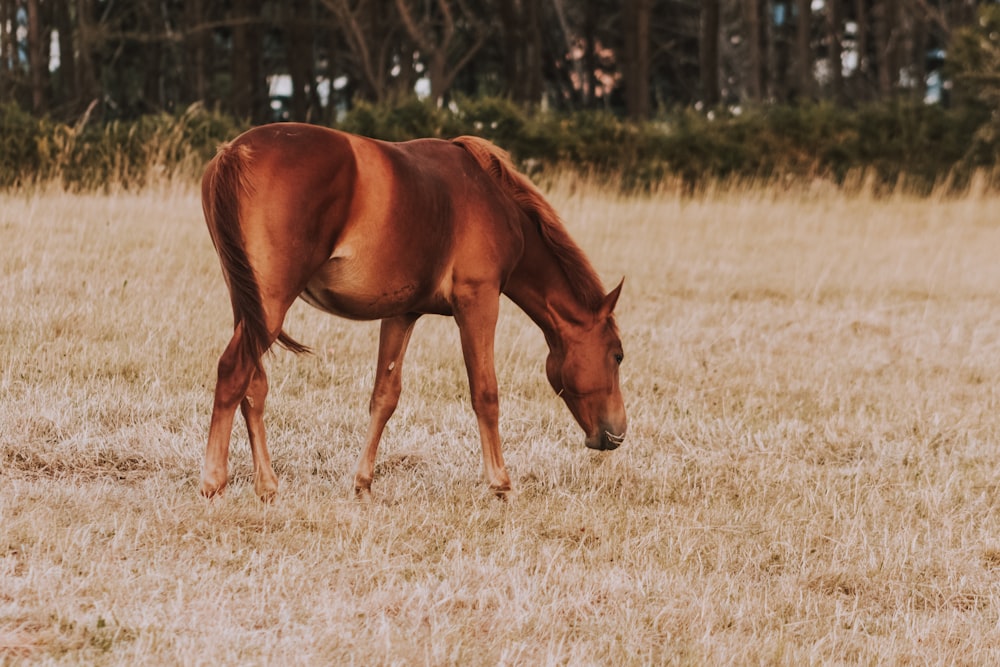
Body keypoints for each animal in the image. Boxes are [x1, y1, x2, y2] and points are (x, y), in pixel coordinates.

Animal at [201, 124, 624, 500]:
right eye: (617, 355)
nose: (617, 433)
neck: (493, 200)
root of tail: (234, 152)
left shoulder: (401, 314)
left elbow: (384, 396)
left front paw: (363, 483)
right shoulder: (478, 301)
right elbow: (485, 393)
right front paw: (501, 484)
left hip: (252, 311)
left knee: (253, 385)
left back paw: (267, 486)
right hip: (270, 307)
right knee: (233, 371)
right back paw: (214, 481)